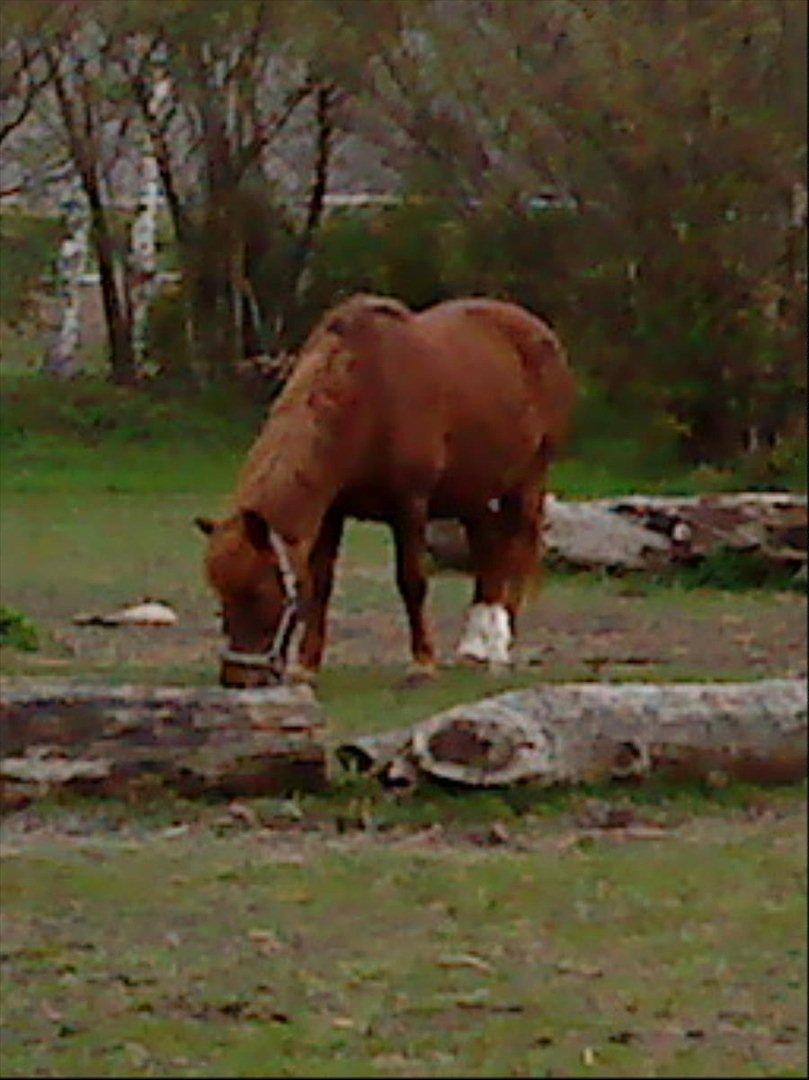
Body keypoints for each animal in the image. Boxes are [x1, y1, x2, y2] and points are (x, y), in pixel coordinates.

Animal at [195, 291, 574, 686]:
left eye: (257, 593)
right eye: (221, 596)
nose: (237, 679)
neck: (366, 395)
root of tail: (540, 330)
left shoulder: (410, 506)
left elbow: (412, 581)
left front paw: (422, 663)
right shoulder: (332, 512)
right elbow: (320, 584)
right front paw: (307, 665)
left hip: (527, 480)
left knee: (520, 546)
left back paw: (499, 645)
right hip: (472, 491)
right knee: (487, 549)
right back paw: (474, 647)